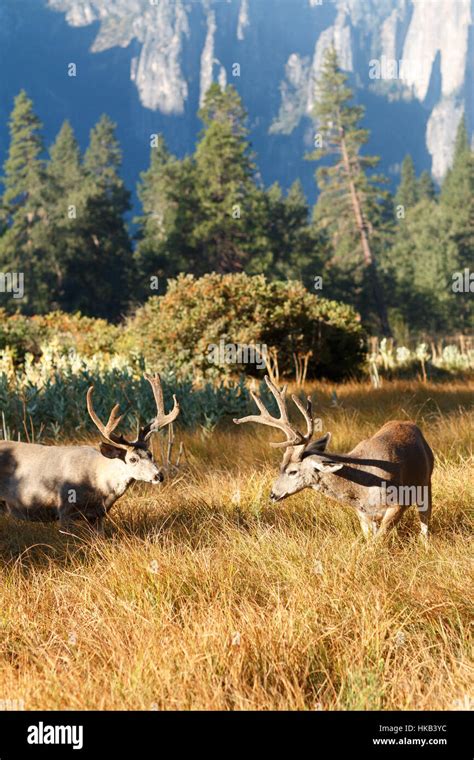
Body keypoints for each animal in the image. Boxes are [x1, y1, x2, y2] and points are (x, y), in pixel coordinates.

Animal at [0, 376, 181, 536]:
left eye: (150, 454)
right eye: (132, 459)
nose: (158, 476)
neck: (99, 483)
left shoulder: (97, 515)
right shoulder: (64, 509)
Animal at [233, 378, 434, 536]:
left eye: (292, 471)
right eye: (280, 466)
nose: (273, 494)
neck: (361, 487)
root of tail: (409, 423)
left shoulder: (398, 503)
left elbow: (377, 542)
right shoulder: (363, 514)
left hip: (426, 482)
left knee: (425, 523)